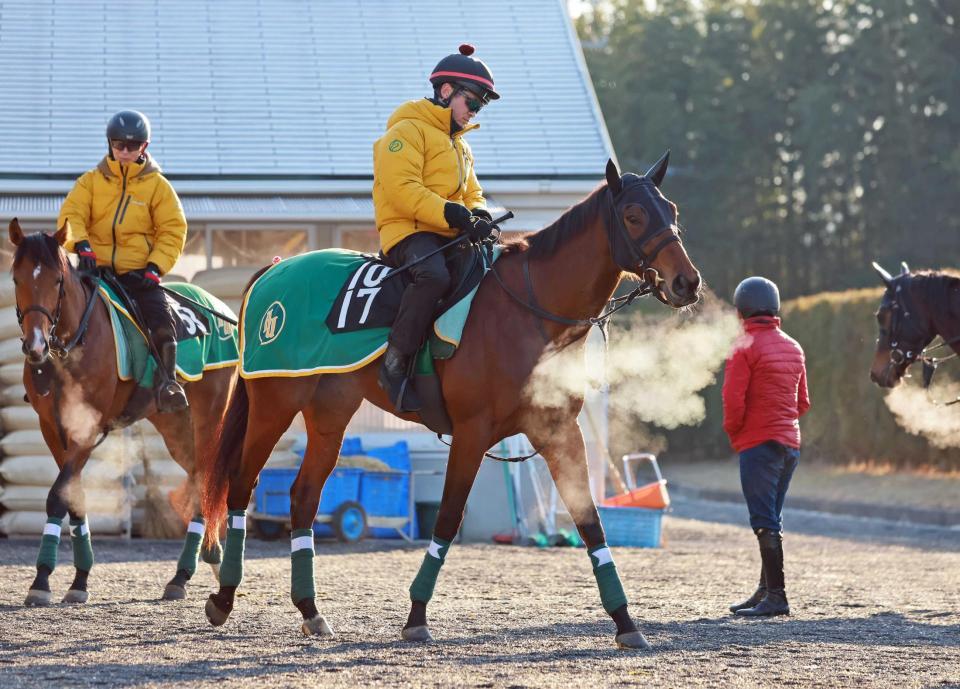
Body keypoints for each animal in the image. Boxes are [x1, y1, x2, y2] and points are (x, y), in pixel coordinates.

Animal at [7, 219, 234, 600]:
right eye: (16, 278)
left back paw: (190, 570)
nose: (35, 344)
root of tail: (223, 312)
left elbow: (58, 496)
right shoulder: (51, 427)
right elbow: (74, 496)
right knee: (197, 478)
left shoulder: (88, 428)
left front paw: (41, 580)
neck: (69, 349)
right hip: (175, 425)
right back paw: (198, 565)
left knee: (206, 476)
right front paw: (79, 579)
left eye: (57, 280)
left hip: (210, 415)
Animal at [202, 153, 700, 648]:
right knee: (241, 485)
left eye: (672, 211)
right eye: (633, 215)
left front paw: (626, 621)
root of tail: (273, 269)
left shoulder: (559, 433)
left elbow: (590, 521)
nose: (687, 282)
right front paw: (417, 614)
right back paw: (224, 598)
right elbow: (446, 518)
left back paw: (310, 609)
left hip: (329, 417)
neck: (528, 313)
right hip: (273, 407)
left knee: (304, 497)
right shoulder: (471, 433)